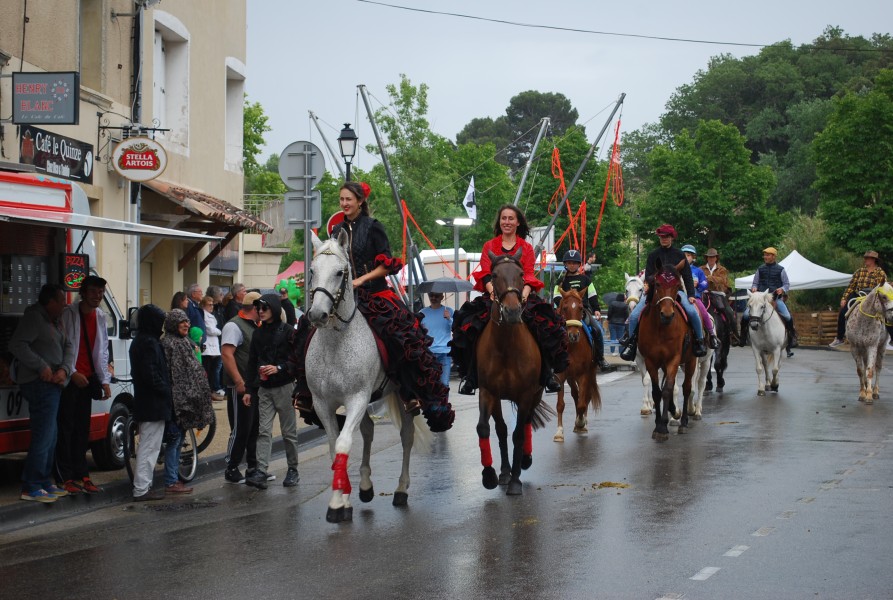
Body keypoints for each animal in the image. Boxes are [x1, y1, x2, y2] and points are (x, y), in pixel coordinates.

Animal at [474, 251, 552, 494]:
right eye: (494, 275)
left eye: (521, 274)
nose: (512, 311)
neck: (506, 346)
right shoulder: (487, 392)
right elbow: (485, 428)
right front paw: (489, 475)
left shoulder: (526, 394)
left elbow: (518, 434)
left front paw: (516, 481)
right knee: (501, 429)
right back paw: (505, 472)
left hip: (535, 394)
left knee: (525, 423)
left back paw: (524, 461)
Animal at [556, 288, 604, 442]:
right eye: (564, 308)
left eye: (581, 308)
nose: (574, 335)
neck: (571, 347)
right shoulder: (560, 375)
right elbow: (561, 405)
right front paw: (559, 432)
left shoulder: (584, 374)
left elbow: (583, 403)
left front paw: (580, 423)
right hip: (571, 377)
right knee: (575, 394)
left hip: (589, 373)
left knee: (585, 397)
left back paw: (582, 422)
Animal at [636, 258, 700, 440]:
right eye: (657, 283)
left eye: (678, 285)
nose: (667, 314)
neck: (661, 328)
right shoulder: (651, 361)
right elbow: (657, 392)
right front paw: (659, 424)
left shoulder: (673, 359)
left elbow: (667, 390)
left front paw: (663, 426)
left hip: (691, 360)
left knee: (687, 388)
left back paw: (683, 421)